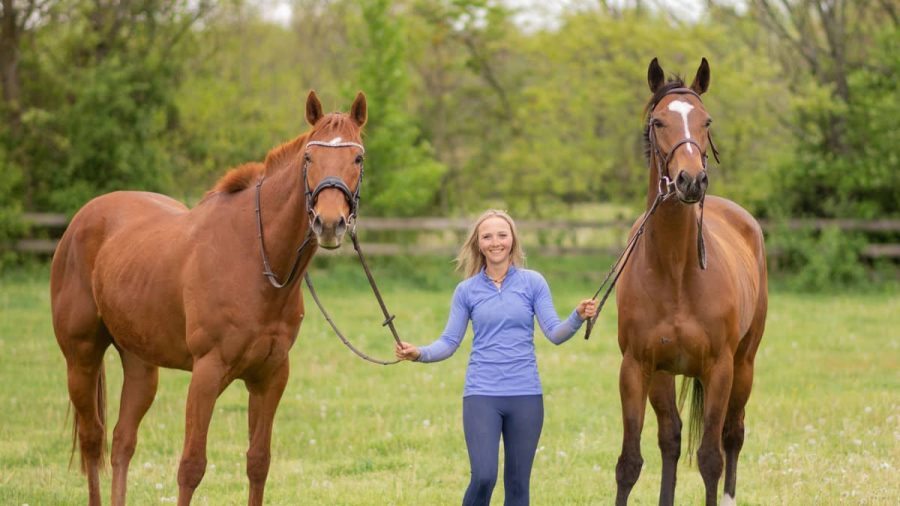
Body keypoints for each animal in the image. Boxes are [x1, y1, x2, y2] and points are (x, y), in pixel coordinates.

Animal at [50, 90, 367, 506]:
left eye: (358, 159)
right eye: (309, 159)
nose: (329, 223)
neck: (253, 257)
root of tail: (82, 219)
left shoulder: (271, 376)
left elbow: (258, 462)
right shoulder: (207, 372)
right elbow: (191, 466)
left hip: (140, 364)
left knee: (122, 441)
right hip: (81, 357)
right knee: (92, 440)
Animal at [612, 58, 768, 506]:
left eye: (706, 120)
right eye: (658, 121)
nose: (691, 181)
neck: (676, 272)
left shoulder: (720, 369)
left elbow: (710, 459)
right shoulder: (637, 368)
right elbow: (630, 462)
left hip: (744, 366)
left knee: (732, 435)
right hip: (665, 376)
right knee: (671, 437)